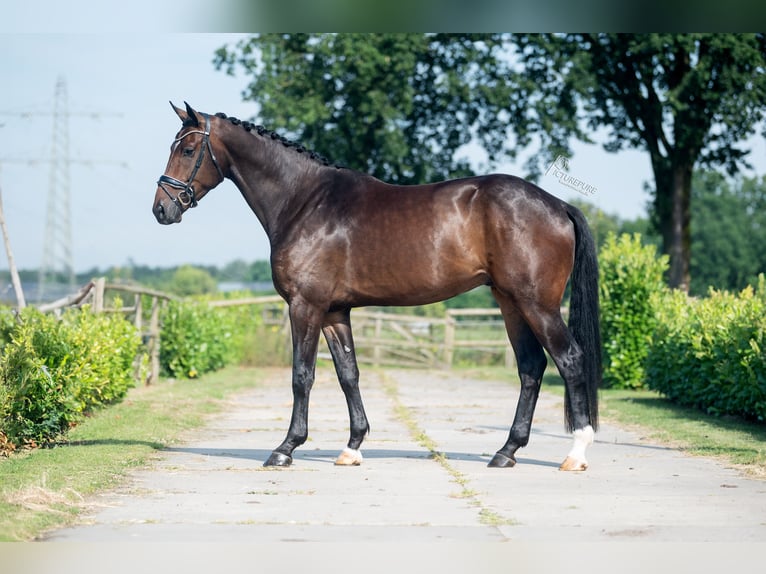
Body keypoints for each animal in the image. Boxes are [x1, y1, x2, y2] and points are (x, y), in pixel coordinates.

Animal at [153, 102, 604, 472]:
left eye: (188, 150)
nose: (162, 209)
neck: (305, 202)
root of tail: (557, 205)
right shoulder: (334, 312)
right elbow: (348, 374)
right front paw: (352, 447)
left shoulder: (305, 306)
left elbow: (302, 375)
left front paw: (285, 448)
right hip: (510, 302)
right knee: (531, 367)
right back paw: (506, 452)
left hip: (536, 304)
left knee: (570, 360)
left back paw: (576, 453)